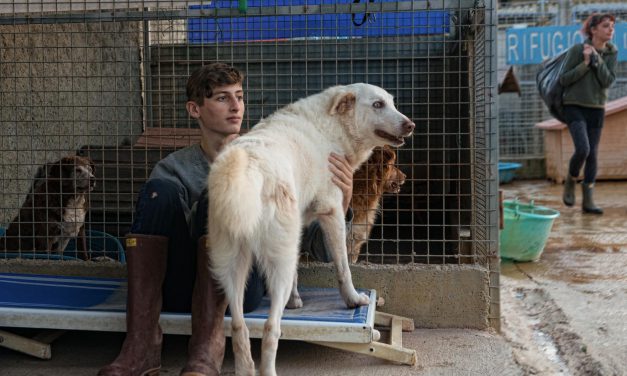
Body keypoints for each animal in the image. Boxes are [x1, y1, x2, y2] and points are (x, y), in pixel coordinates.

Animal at [206, 83, 414, 374]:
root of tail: (247, 169)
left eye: (392, 103)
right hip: (276, 261)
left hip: (232, 266)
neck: (331, 126)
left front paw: (294, 301)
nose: (411, 125)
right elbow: (343, 267)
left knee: (238, 328)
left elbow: (298, 270)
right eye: (377, 105)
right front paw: (353, 299)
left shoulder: (300, 223)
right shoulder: (332, 212)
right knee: (270, 329)